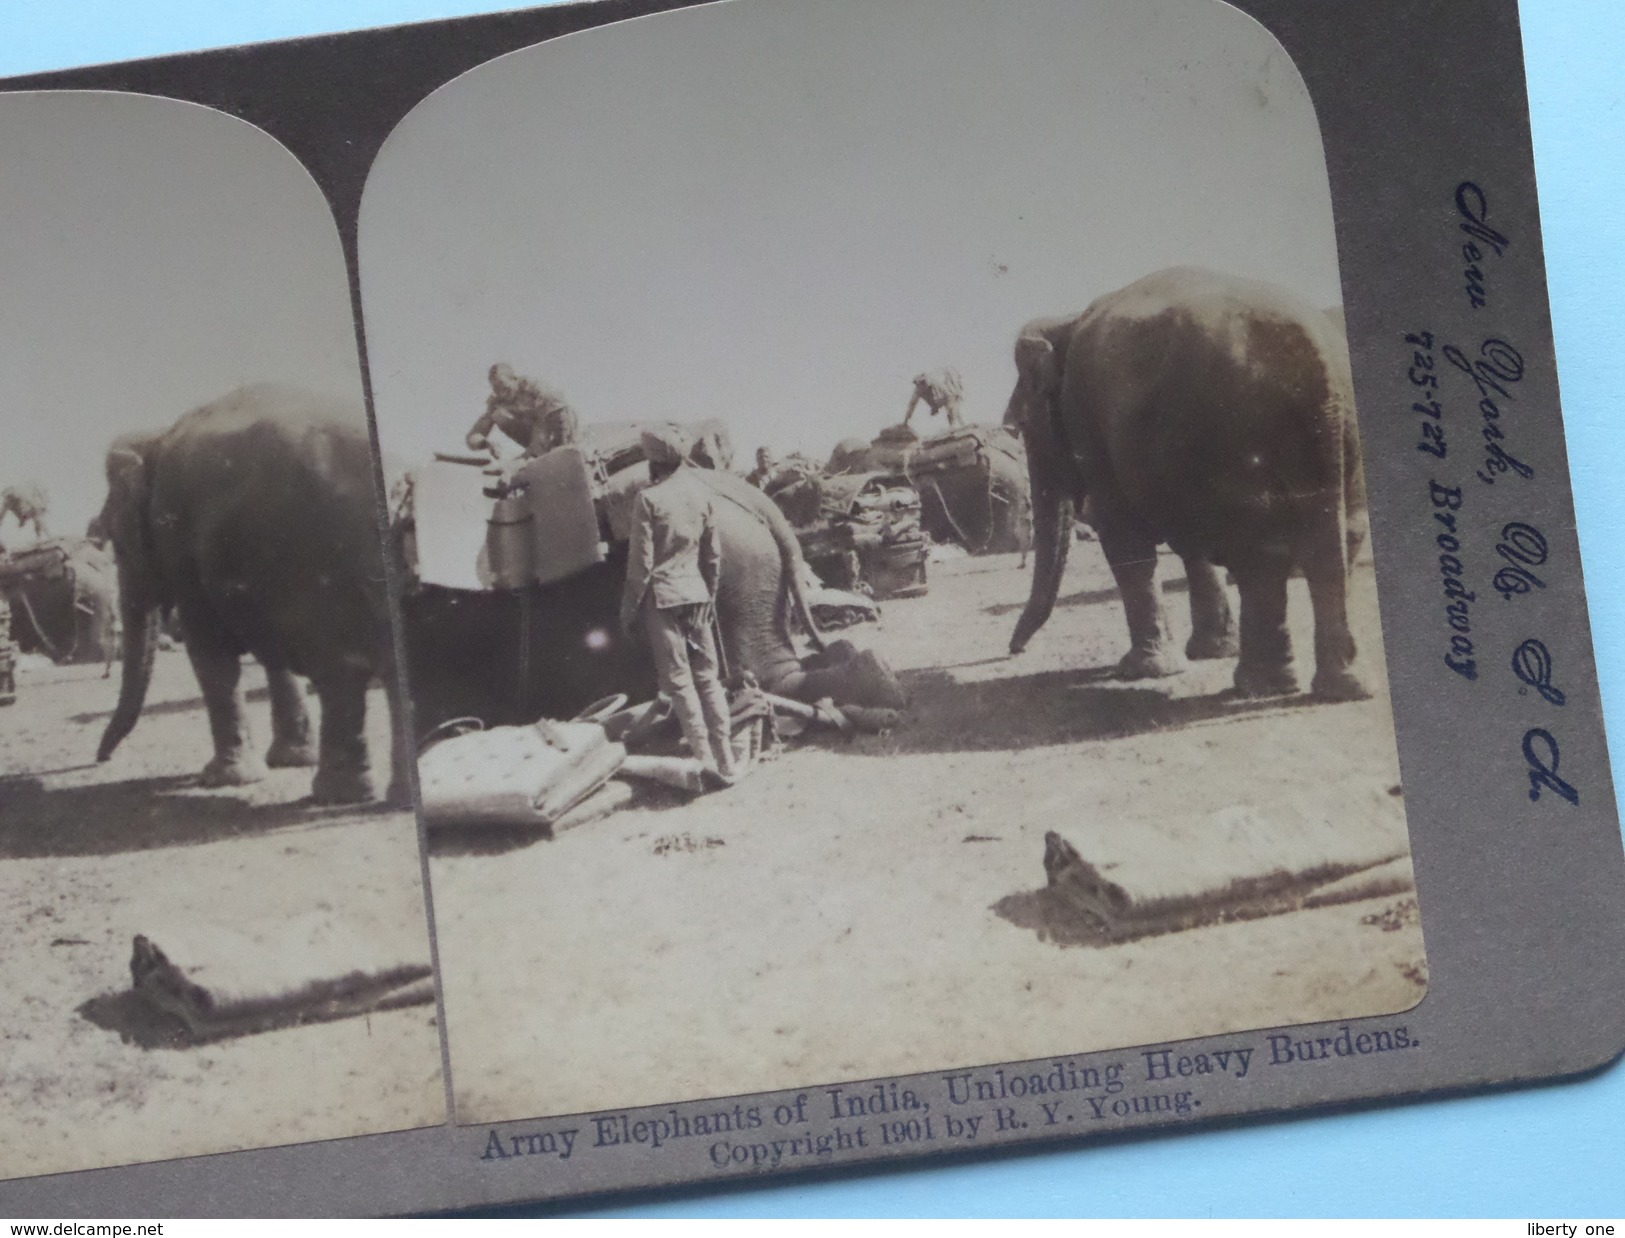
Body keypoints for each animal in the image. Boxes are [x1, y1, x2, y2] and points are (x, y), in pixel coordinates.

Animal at [95, 388, 409, 809]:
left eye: (117, 543)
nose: (100, 758)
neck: (155, 438)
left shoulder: (184, 550)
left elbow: (208, 649)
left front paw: (222, 779)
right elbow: (273, 652)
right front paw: (291, 760)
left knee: (340, 671)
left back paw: (338, 794)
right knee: (385, 665)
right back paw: (391, 798)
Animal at [1001, 264, 1371, 698]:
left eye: (1021, 426)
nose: (1012, 650)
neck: (1067, 320)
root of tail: (1317, 357)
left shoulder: (1090, 420)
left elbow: (1122, 532)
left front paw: (1143, 670)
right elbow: (1188, 539)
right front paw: (1208, 652)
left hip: (1239, 440)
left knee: (1260, 552)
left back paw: (1261, 685)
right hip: (1339, 435)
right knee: (1335, 542)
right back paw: (1335, 688)